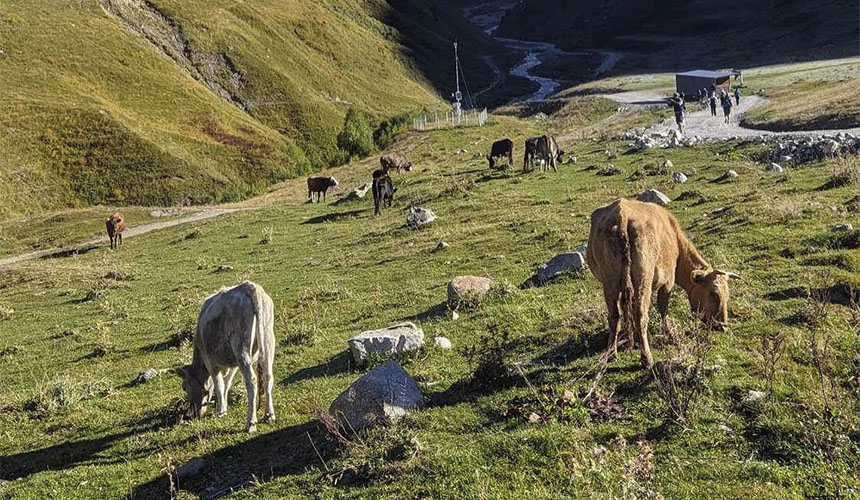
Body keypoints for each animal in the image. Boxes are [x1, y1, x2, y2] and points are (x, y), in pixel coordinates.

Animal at [177, 282, 278, 434]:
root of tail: (249, 286)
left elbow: (218, 384)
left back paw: (250, 423)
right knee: (268, 376)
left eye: (184, 387)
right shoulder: (233, 363)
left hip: (241, 346)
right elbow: (226, 383)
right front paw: (222, 407)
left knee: (251, 381)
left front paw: (220, 411)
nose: (192, 414)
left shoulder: (210, 362)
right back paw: (269, 415)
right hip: (268, 340)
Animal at [584, 198, 740, 368]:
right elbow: (663, 309)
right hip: (643, 278)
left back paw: (612, 353)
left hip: (610, 281)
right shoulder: (668, 281)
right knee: (641, 315)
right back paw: (647, 358)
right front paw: (669, 333)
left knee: (614, 316)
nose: (722, 326)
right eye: (714, 294)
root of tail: (622, 214)